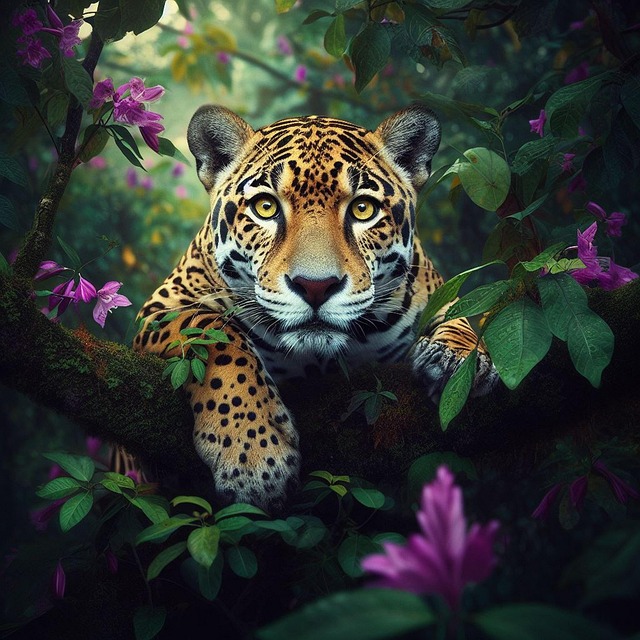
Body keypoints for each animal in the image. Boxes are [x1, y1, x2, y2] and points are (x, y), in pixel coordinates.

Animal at [133, 104, 497, 512]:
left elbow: (461, 317)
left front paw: (456, 360)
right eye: (265, 207)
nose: (316, 286)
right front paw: (254, 454)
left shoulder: (433, 292)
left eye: (363, 209)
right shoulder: (162, 307)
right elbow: (216, 338)